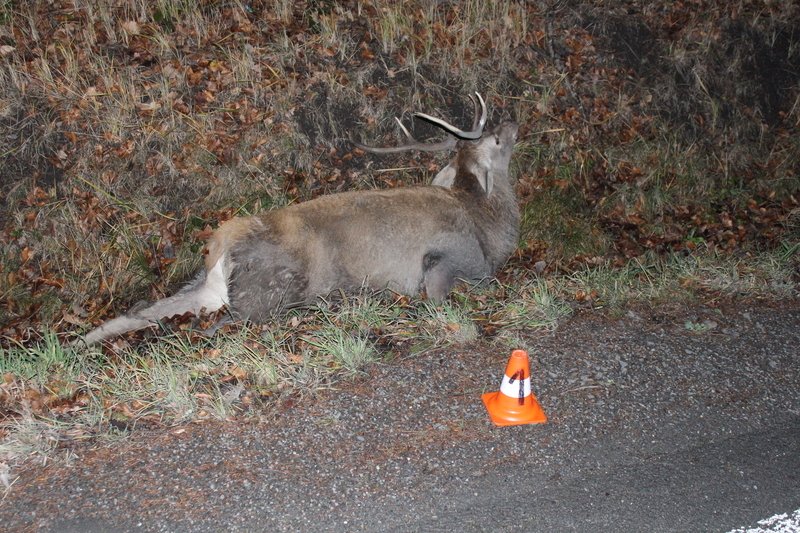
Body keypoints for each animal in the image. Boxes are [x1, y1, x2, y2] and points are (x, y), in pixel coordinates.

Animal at [81, 93, 520, 344]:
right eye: (497, 141)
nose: (513, 120)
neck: (488, 227)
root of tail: (221, 246)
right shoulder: (453, 260)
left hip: (206, 287)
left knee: (145, 312)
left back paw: (81, 344)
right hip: (266, 292)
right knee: (215, 326)